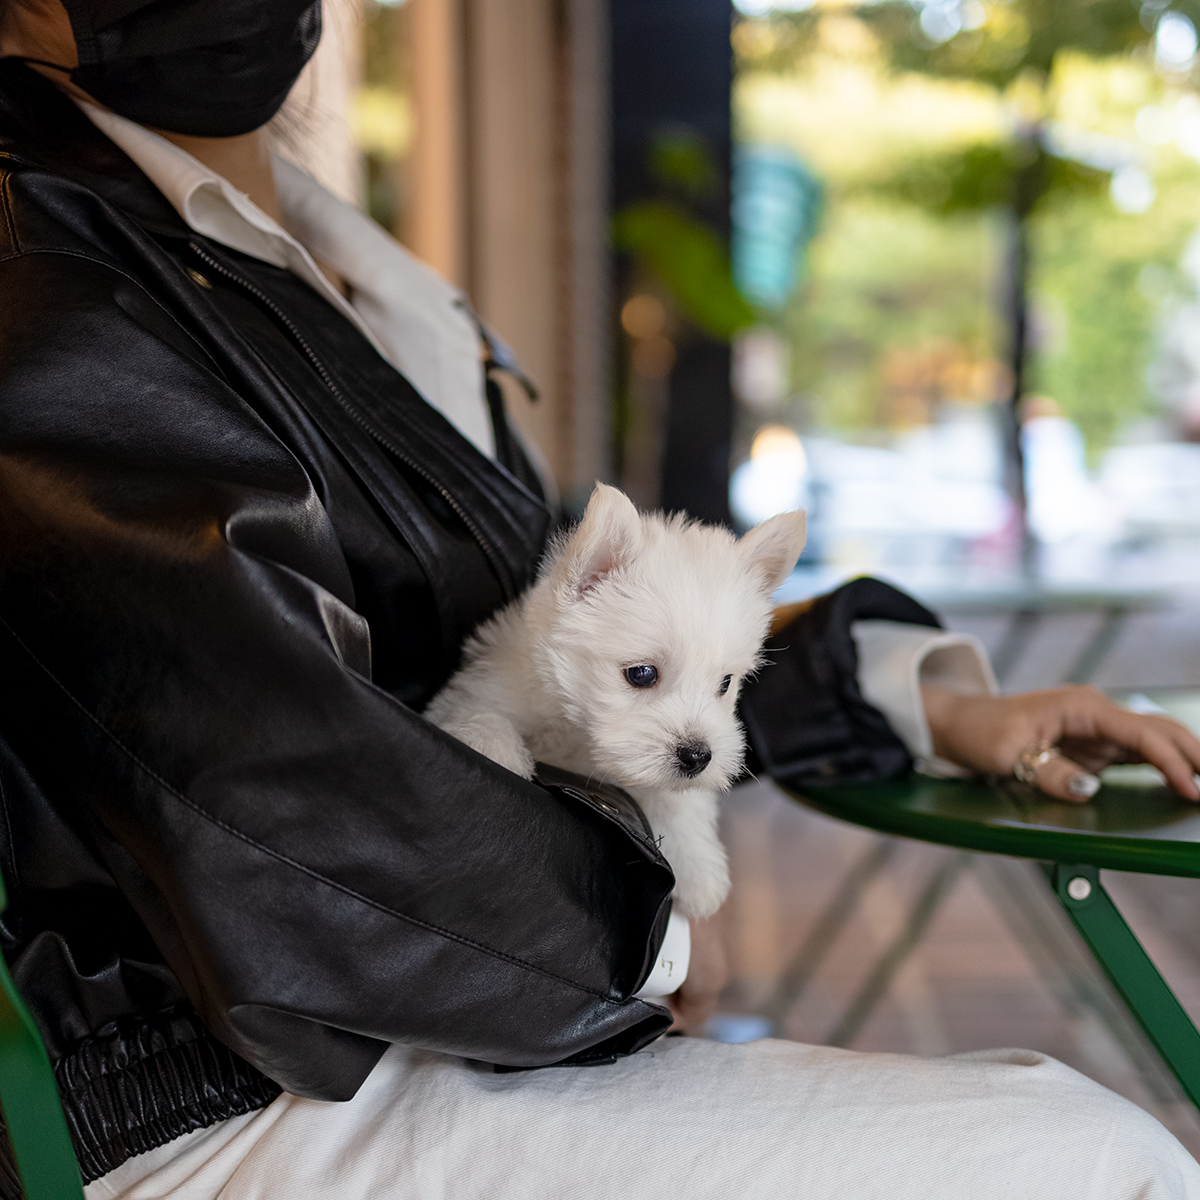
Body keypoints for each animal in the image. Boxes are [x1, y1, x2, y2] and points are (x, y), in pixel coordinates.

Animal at [424, 482, 806, 912]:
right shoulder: (479, 688)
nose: (697, 757)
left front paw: (697, 865)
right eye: (642, 674)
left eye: (725, 683)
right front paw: (494, 749)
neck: (579, 737)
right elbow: (483, 714)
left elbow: (677, 799)